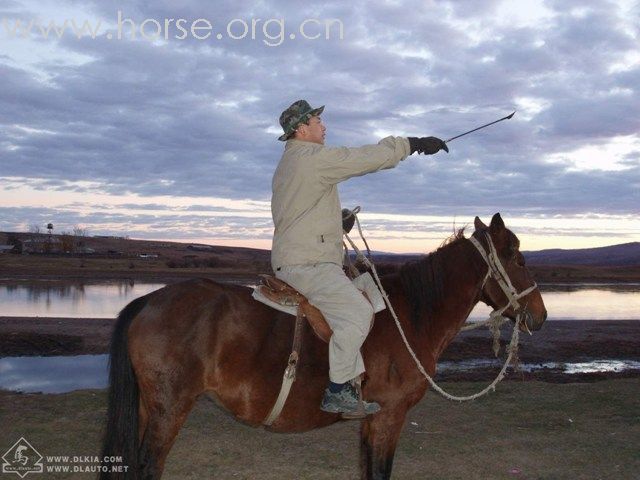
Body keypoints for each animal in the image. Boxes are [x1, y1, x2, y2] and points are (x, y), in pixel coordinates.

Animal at [99, 215, 544, 480]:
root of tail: (147, 301)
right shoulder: (390, 417)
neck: (411, 314)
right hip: (169, 410)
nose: (539, 316)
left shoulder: (372, 420)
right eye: (519, 258)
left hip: (149, 408)